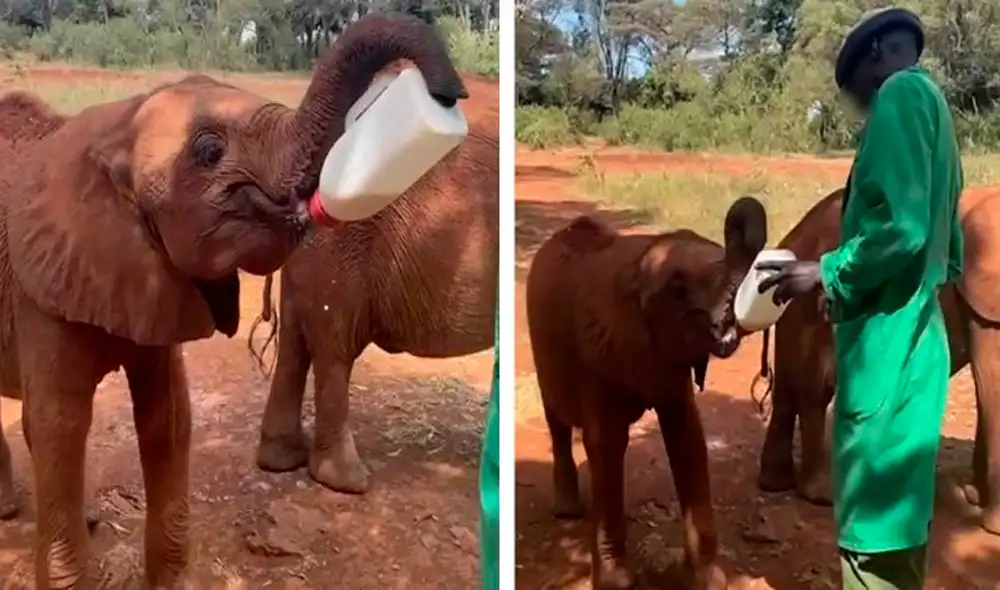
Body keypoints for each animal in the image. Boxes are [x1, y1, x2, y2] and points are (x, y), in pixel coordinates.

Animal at [0, 12, 467, 588]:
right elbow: (58, 425)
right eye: (208, 153)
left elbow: (168, 418)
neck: (117, 126)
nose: (449, 92)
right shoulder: (38, 286)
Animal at [525, 197, 767, 590]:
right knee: (557, 420)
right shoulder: (597, 349)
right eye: (678, 289)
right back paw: (567, 511)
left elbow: (688, 438)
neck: (638, 263)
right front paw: (616, 583)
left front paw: (707, 581)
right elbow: (606, 443)